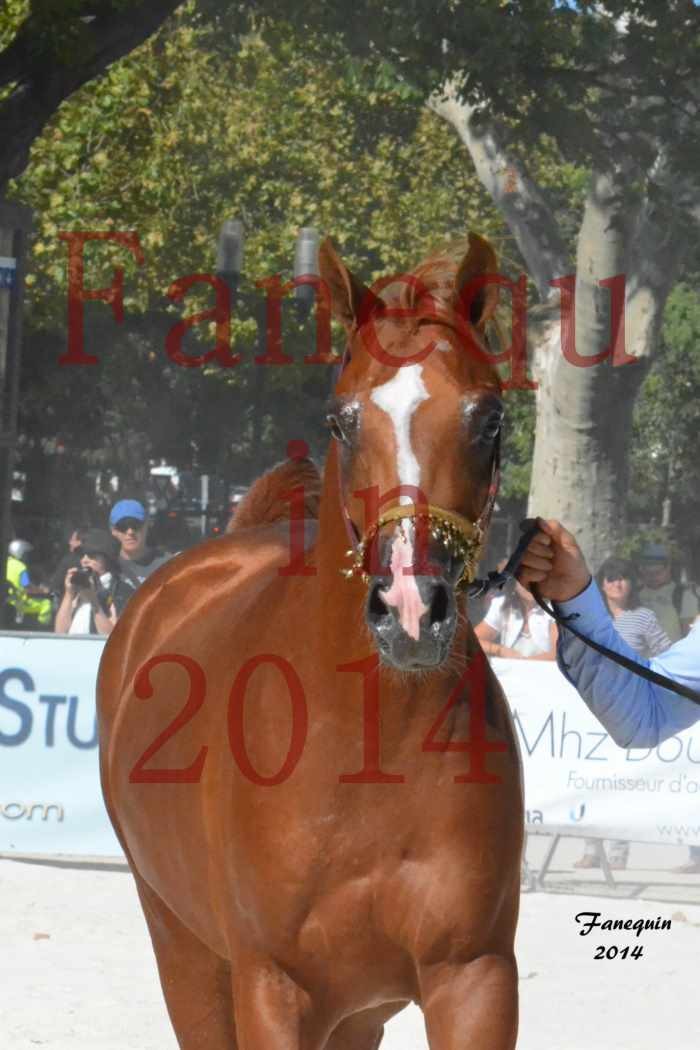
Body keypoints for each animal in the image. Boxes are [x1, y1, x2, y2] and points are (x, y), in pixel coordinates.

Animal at [101, 234, 522, 1050]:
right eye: (342, 420)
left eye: (489, 419)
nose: (410, 608)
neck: (368, 747)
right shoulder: (274, 987)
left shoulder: (474, 979)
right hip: (185, 954)